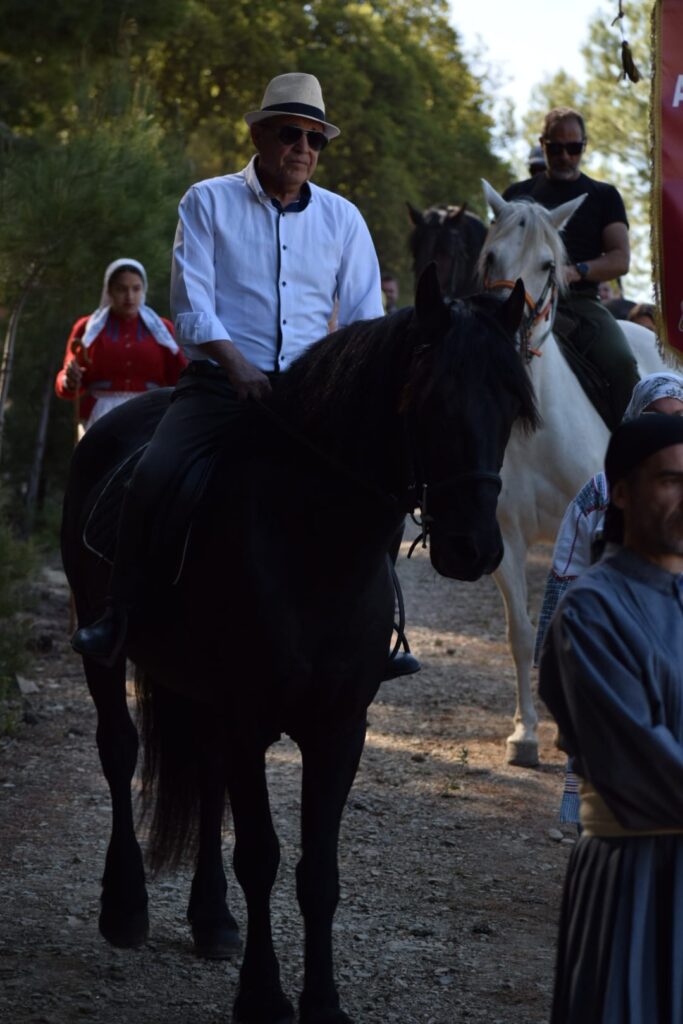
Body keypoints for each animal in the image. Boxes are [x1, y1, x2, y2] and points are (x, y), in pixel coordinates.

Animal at [61, 270, 536, 1024]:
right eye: (430, 398)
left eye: (513, 405)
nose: (473, 550)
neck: (312, 542)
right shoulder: (249, 717)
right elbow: (261, 855)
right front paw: (261, 995)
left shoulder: (338, 726)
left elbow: (319, 873)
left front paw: (323, 1002)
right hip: (101, 644)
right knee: (120, 750)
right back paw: (125, 907)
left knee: (205, 776)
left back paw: (212, 921)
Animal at [481, 178, 671, 770]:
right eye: (490, 255)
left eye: (548, 264)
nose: (505, 328)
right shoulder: (506, 535)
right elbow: (522, 633)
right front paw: (525, 734)